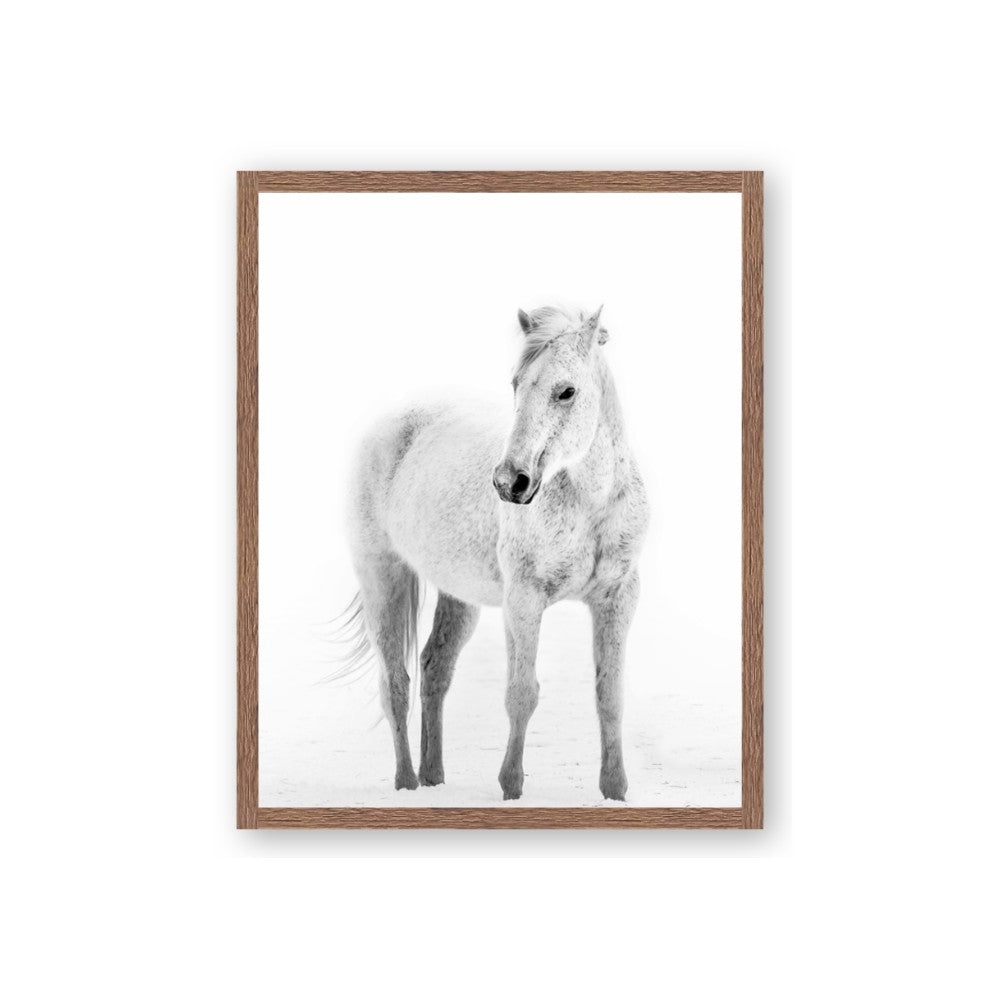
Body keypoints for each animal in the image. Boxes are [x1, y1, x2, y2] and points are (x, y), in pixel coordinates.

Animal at [341, 305, 649, 800]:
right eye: (516, 384)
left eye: (567, 391)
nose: (510, 482)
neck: (590, 504)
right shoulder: (523, 600)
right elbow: (521, 693)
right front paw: (511, 786)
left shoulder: (618, 597)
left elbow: (610, 695)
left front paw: (615, 790)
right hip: (381, 577)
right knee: (396, 684)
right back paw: (407, 783)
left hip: (458, 596)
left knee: (434, 669)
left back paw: (433, 776)